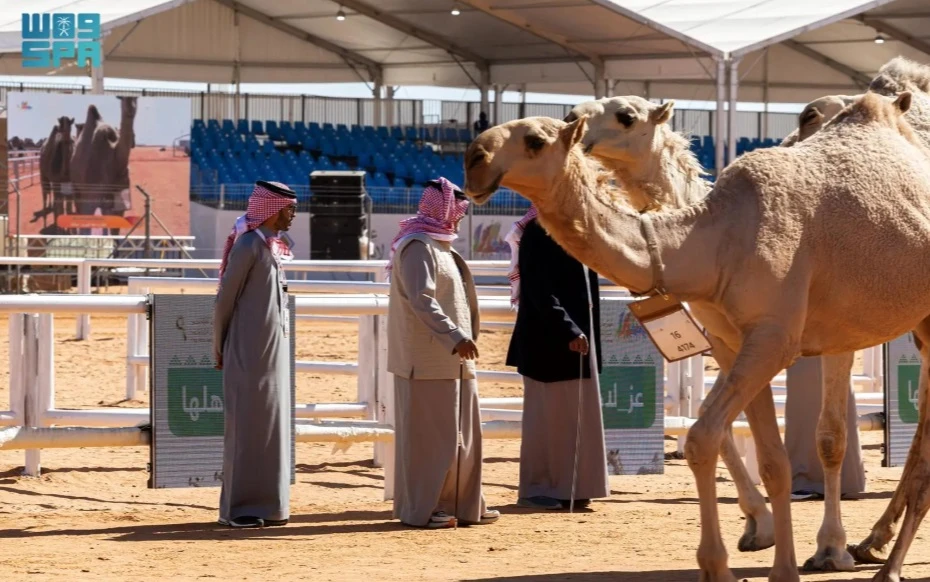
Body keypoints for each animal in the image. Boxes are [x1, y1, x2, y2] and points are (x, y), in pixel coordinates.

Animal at [463, 92, 930, 582]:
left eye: (535, 140)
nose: (473, 159)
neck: (714, 241)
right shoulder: (734, 342)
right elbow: (769, 459)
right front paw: (778, 560)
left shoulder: (776, 338)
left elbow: (710, 437)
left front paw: (739, 562)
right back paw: (877, 547)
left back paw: (885, 561)